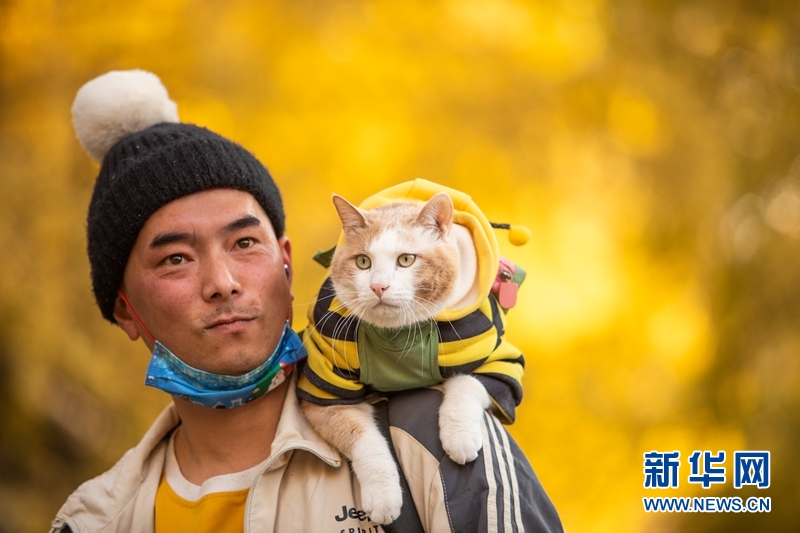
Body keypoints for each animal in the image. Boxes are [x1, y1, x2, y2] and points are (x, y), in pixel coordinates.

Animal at [296, 186, 520, 524]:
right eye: (363, 261)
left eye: (406, 259)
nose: (378, 286)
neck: (399, 335)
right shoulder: (325, 387)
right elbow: (363, 438)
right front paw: (383, 496)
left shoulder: (500, 360)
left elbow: (469, 382)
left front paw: (459, 435)